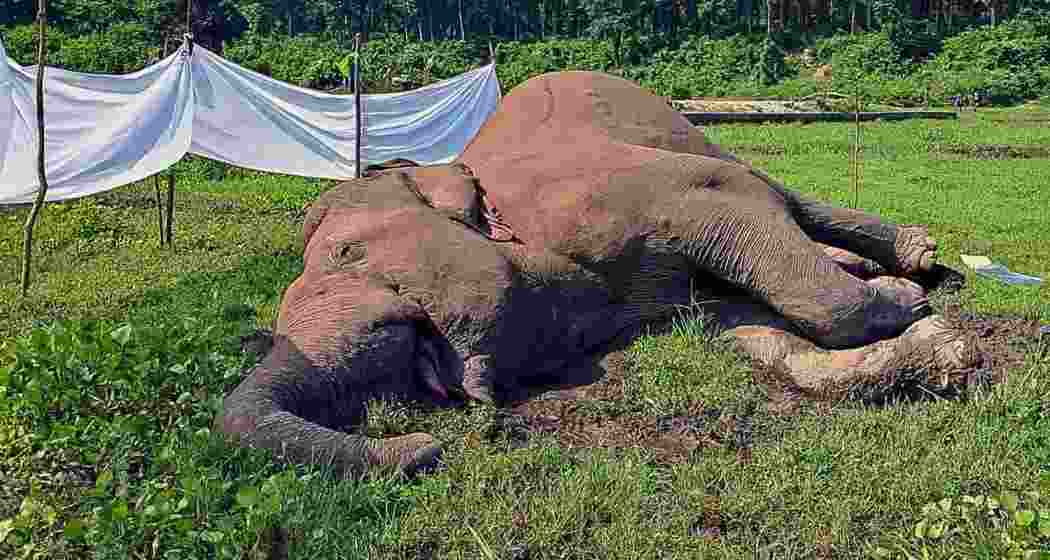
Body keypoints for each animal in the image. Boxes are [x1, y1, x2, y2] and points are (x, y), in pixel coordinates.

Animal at [215, 71, 978, 478]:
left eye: (347, 253)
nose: (428, 449)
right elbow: (742, 329)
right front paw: (937, 351)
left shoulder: (636, 193)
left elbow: (749, 221)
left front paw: (911, 301)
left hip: (686, 130)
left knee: (775, 188)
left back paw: (913, 256)